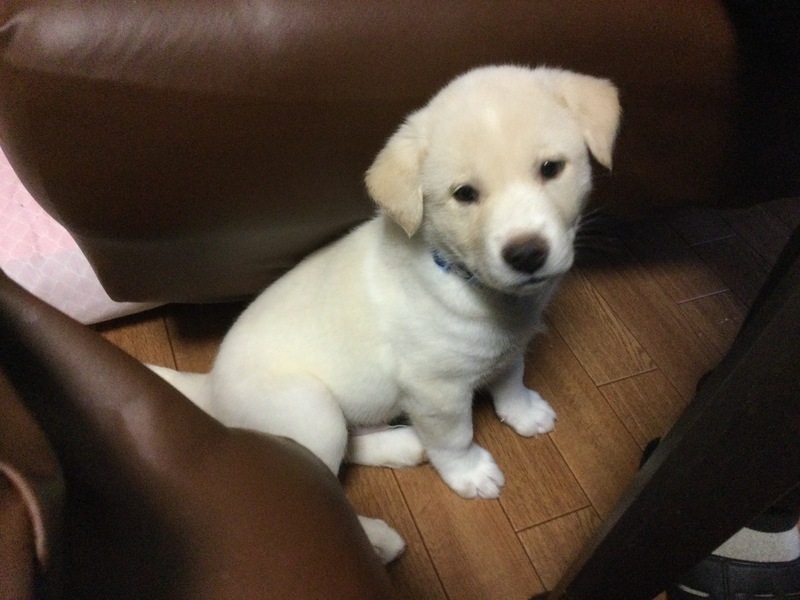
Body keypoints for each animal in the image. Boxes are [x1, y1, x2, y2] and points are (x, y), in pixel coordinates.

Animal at [151, 65, 620, 563]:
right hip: (312, 411)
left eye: (551, 168)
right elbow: (454, 438)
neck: (465, 280)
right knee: (321, 477)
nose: (527, 253)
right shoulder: (434, 391)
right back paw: (375, 539)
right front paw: (470, 473)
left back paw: (402, 445)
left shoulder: (509, 347)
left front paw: (524, 412)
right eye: (465, 194)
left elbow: (511, 378)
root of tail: (210, 387)